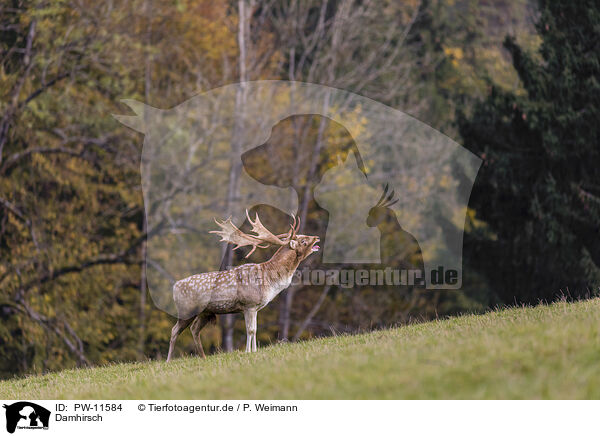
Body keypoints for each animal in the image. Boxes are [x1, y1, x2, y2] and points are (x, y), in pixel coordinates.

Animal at [166, 210, 322, 362]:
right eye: (303, 241)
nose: (316, 237)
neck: (269, 280)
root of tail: (174, 287)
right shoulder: (249, 304)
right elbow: (250, 330)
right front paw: (248, 352)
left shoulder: (256, 307)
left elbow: (256, 329)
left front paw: (254, 351)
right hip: (186, 310)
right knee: (174, 330)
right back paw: (169, 361)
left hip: (205, 313)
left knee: (194, 329)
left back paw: (203, 357)